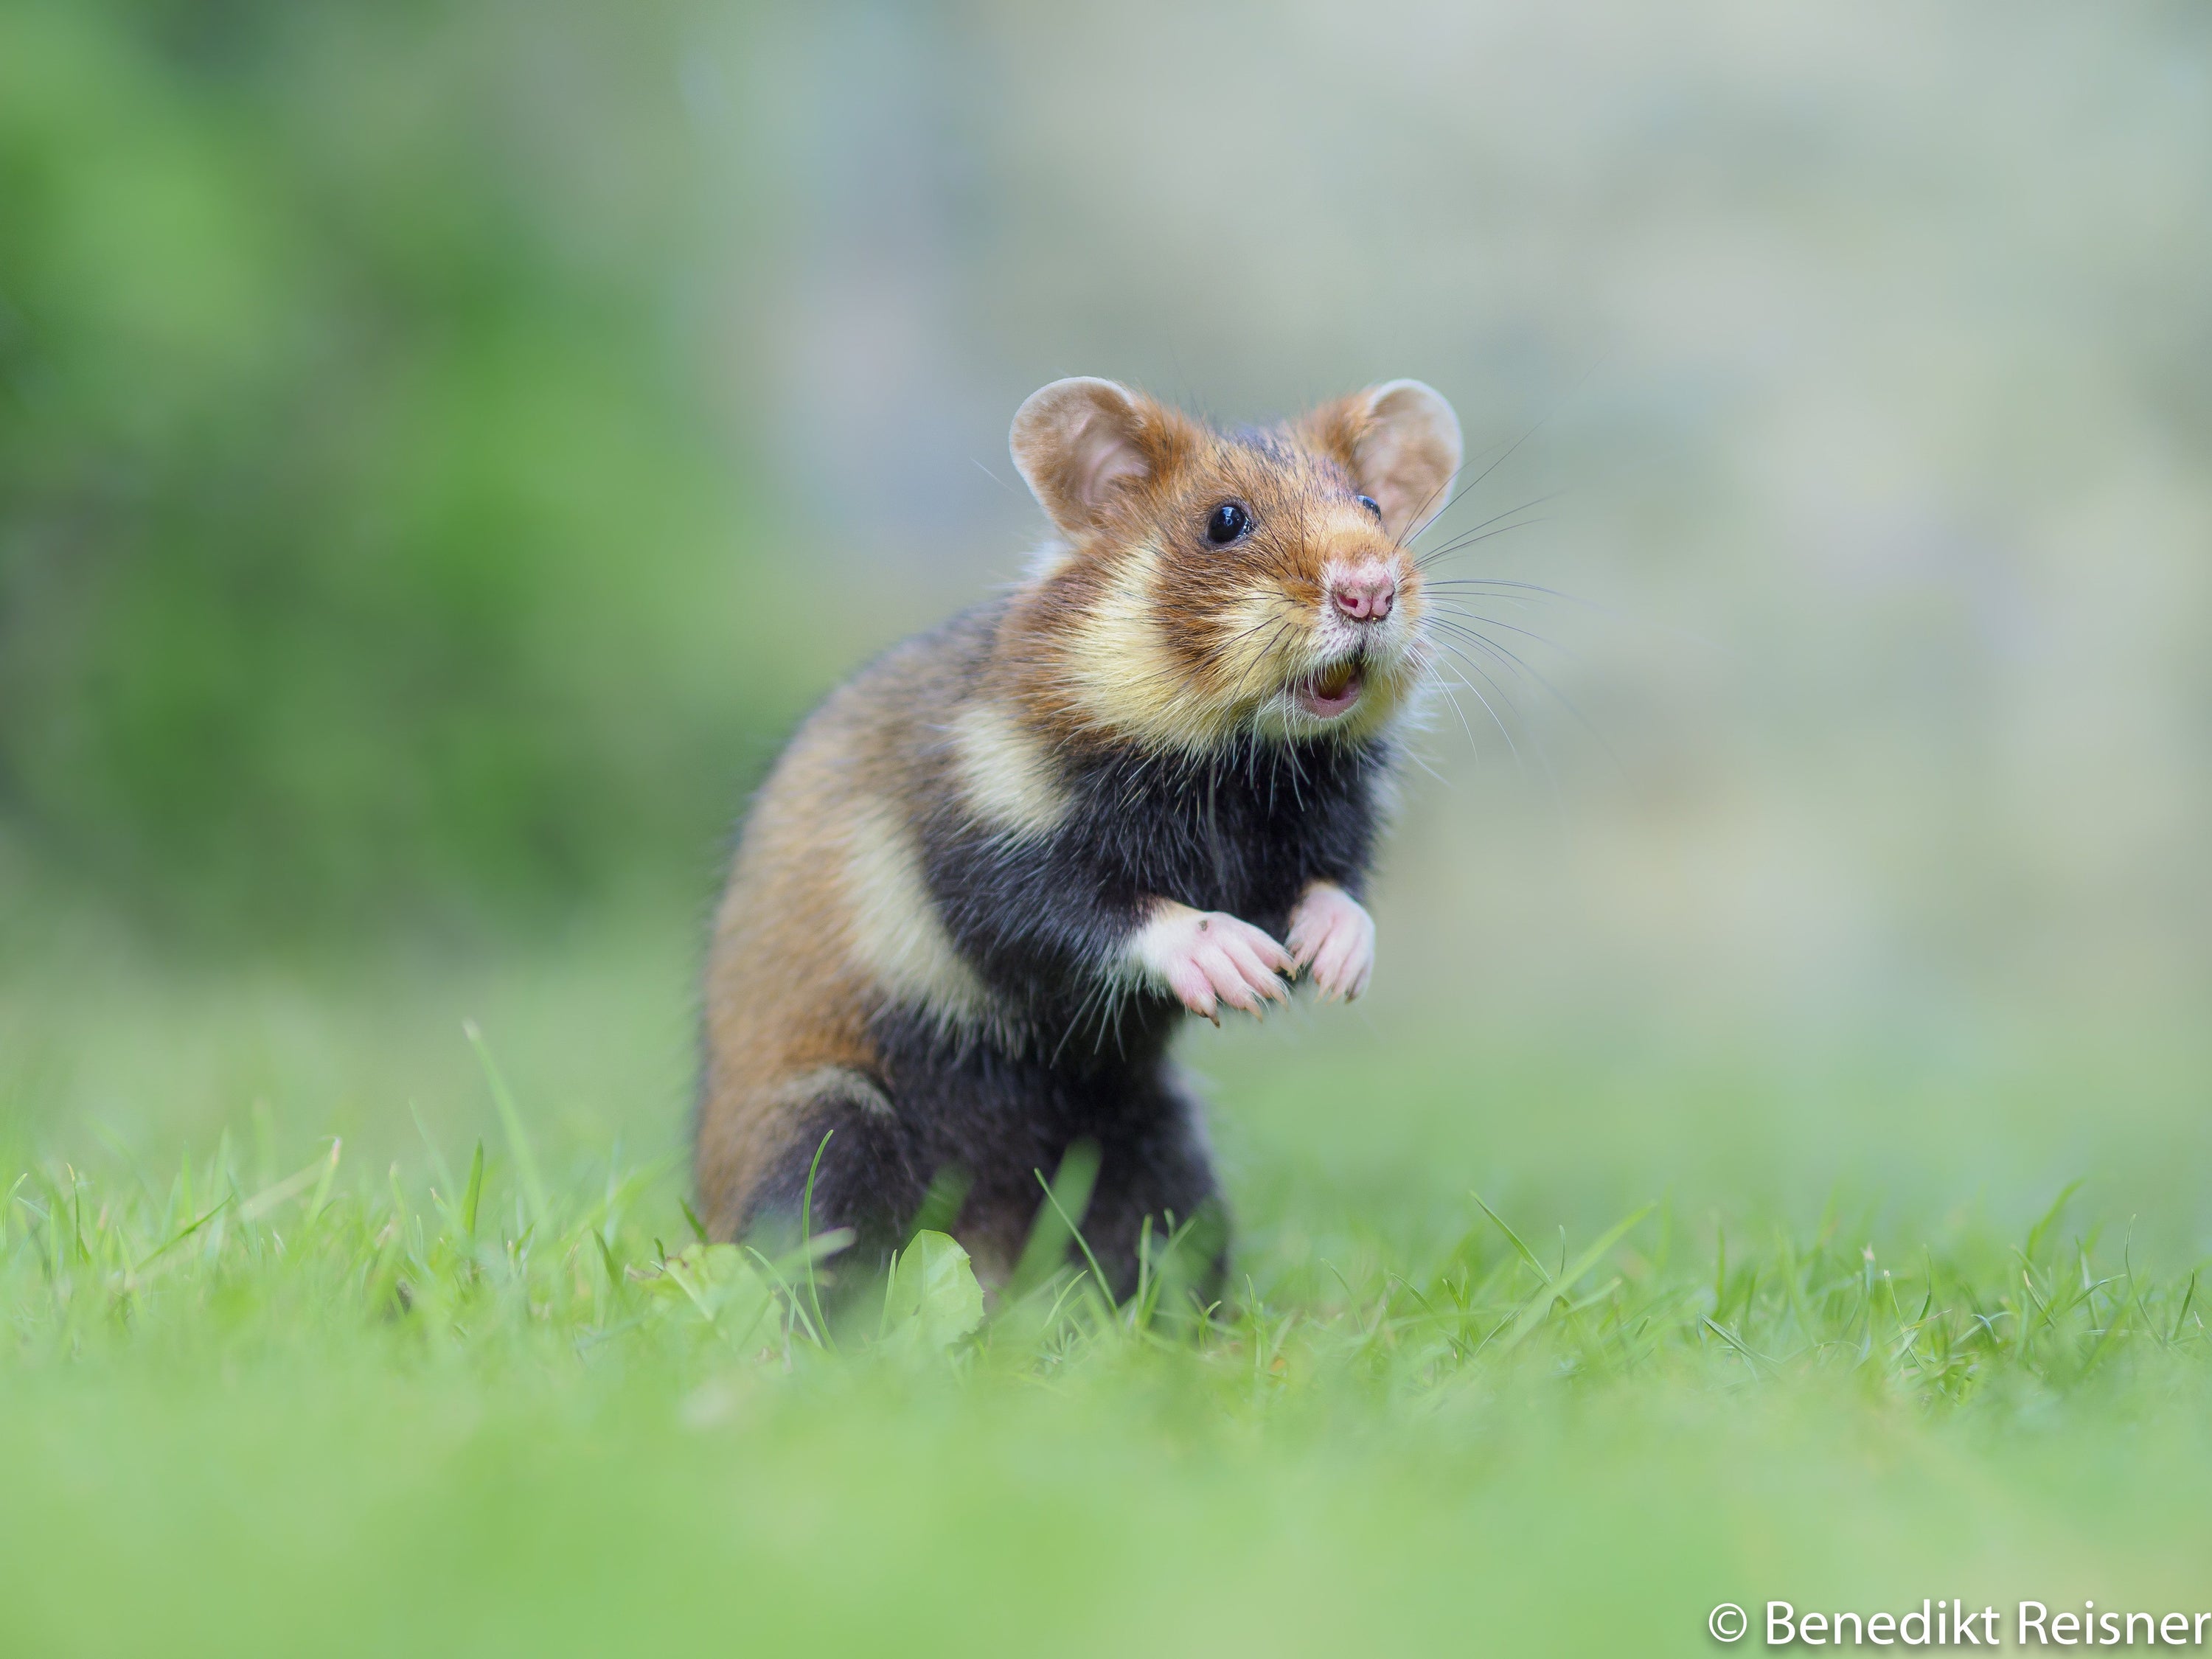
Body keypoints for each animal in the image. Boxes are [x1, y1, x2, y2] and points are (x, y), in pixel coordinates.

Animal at [695, 376, 1462, 1299]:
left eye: (1373, 506)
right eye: (1225, 520)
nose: (1370, 592)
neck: (1235, 770)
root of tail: (993, 1267)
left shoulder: (1331, 823)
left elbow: (1334, 890)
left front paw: (1334, 961)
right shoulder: (980, 838)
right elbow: (1087, 913)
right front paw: (1238, 967)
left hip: (1158, 1149)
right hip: (826, 1127)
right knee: (812, 1257)